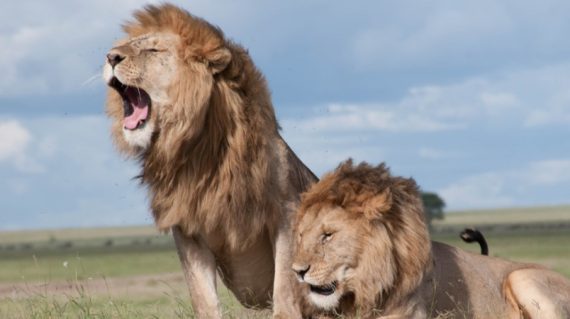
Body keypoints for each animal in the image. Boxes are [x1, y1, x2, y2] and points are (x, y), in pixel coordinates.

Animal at [101, 3, 316, 318]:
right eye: (125, 46)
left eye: (153, 50)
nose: (110, 56)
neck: (199, 152)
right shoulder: (187, 228)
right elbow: (202, 296)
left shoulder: (285, 212)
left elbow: (285, 287)